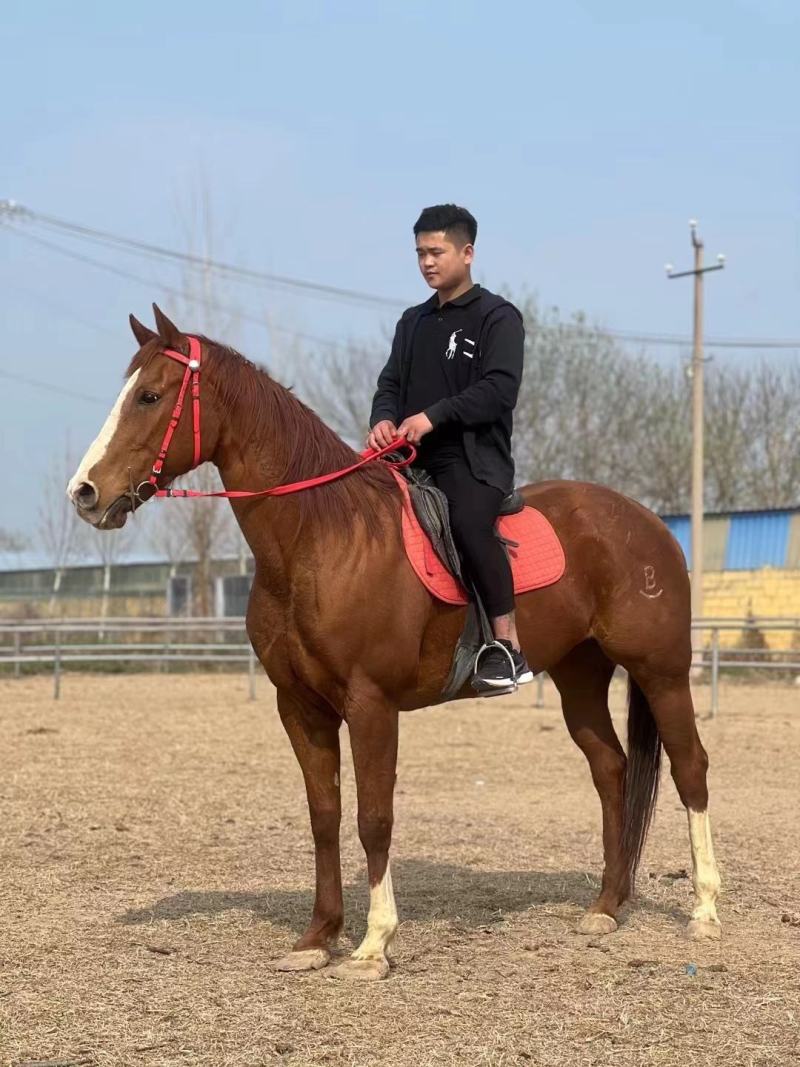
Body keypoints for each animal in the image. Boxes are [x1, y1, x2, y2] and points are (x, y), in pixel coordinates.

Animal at [66, 305, 721, 980]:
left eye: (149, 396)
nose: (85, 493)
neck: (323, 538)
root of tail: (647, 523)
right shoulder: (299, 708)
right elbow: (324, 816)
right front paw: (317, 938)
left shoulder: (371, 705)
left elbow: (373, 818)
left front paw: (373, 944)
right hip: (579, 677)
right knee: (611, 770)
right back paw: (607, 907)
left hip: (661, 671)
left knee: (690, 768)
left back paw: (704, 912)